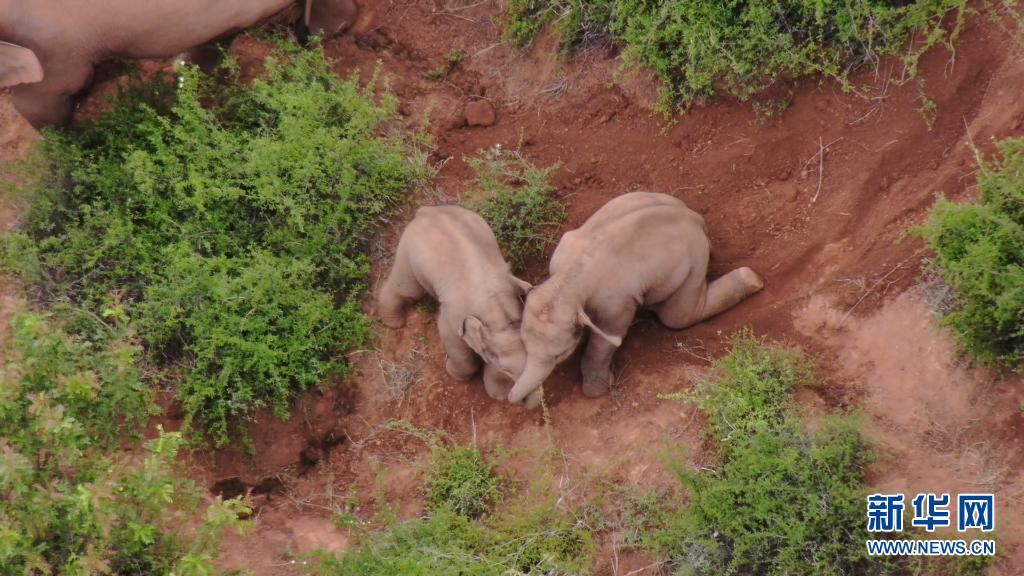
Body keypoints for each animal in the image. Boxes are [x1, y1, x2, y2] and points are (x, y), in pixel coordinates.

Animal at [376, 206, 536, 403]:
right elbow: (453, 340)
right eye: (506, 369)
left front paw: (497, 394)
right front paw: (453, 373)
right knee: (407, 288)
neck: (495, 307)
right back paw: (394, 323)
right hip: (409, 250)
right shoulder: (454, 318)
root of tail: (426, 210)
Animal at [507, 191, 765, 403]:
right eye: (524, 344)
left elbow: (607, 338)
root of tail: (694, 217)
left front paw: (595, 390)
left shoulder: (616, 303)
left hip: (695, 258)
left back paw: (752, 279)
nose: (510, 397)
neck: (569, 281)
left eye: (559, 355)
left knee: (677, 317)